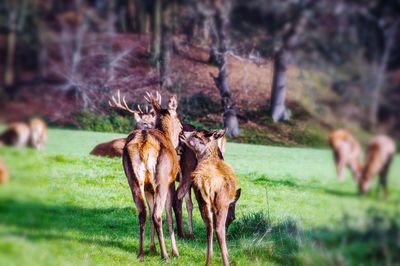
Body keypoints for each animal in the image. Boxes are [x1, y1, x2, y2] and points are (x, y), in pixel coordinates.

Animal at [122, 91, 182, 260]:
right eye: (180, 123)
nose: (182, 132)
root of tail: (144, 143)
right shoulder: (170, 182)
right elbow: (169, 213)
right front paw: (175, 252)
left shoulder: (149, 188)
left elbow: (148, 211)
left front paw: (152, 248)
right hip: (161, 178)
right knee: (157, 214)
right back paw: (165, 255)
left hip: (133, 179)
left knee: (142, 212)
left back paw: (141, 253)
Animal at [180, 129, 241, 266]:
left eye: (196, 135)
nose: (182, 132)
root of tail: (206, 181)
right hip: (220, 202)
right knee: (218, 228)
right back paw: (226, 261)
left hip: (202, 200)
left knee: (209, 227)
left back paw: (208, 261)